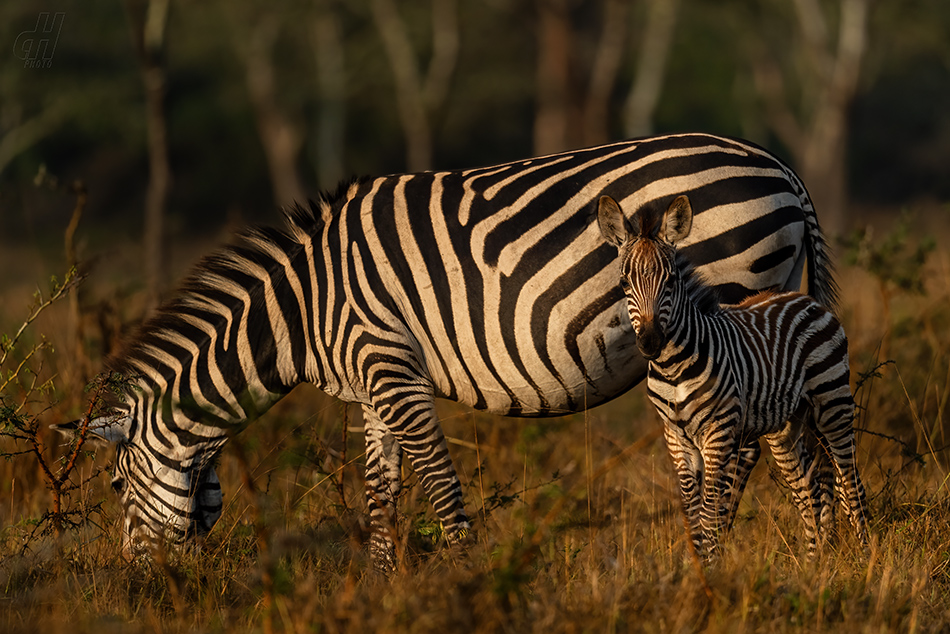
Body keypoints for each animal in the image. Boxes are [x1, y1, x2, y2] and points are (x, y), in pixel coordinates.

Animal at [55, 132, 836, 568]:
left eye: (117, 489)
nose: (138, 591)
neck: (303, 308)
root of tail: (784, 171)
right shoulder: (371, 386)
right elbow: (381, 496)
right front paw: (380, 589)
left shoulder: (392, 369)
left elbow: (438, 484)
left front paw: (463, 583)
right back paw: (815, 555)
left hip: (734, 309)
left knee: (753, 451)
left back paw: (724, 556)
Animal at [604, 194, 872, 556]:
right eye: (623, 283)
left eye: (671, 280)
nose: (650, 342)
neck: (672, 369)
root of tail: (805, 299)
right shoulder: (676, 438)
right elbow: (693, 515)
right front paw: (698, 568)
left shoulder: (718, 433)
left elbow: (708, 513)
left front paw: (712, 568)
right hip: (787, 426)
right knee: (810, 487)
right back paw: (815, 561)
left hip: (833, 403)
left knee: (850, 479)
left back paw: (867, 557)